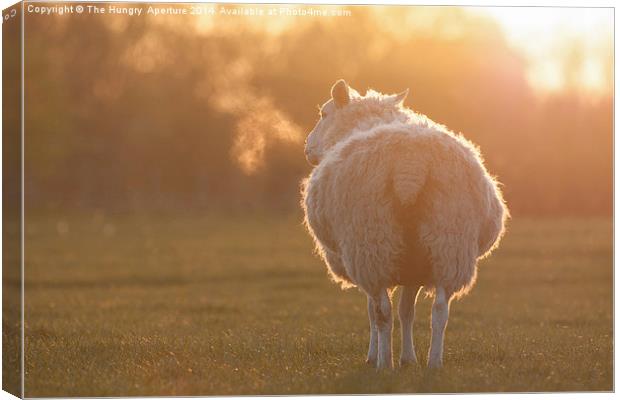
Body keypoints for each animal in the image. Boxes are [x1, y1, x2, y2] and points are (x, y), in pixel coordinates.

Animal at [300, 78, 508, 368]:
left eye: (323, 114)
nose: (307, 147)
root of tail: (410, 165)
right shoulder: (413, 265)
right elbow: (407, 311)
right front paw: (408, 359)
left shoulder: (372, 260)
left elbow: (375, 311)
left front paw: (374, 356)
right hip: (448, 242)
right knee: (439, 311)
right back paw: (434, 362)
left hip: (371, 241)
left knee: (382, 312)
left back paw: (383, 363)